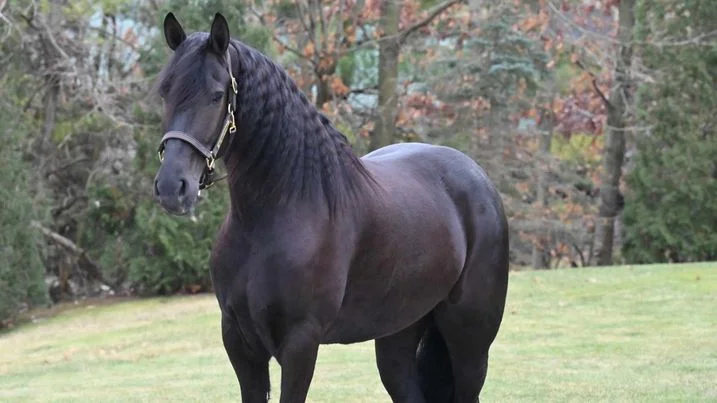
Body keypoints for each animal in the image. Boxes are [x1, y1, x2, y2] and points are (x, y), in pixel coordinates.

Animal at [153, 12, 509, 403]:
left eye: (217, 95)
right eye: (165, 91)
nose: (172, 187)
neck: (278, 213)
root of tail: (478, 178)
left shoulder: (300, 342)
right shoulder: (238, 340)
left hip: (470, 341)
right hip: (398, 334)